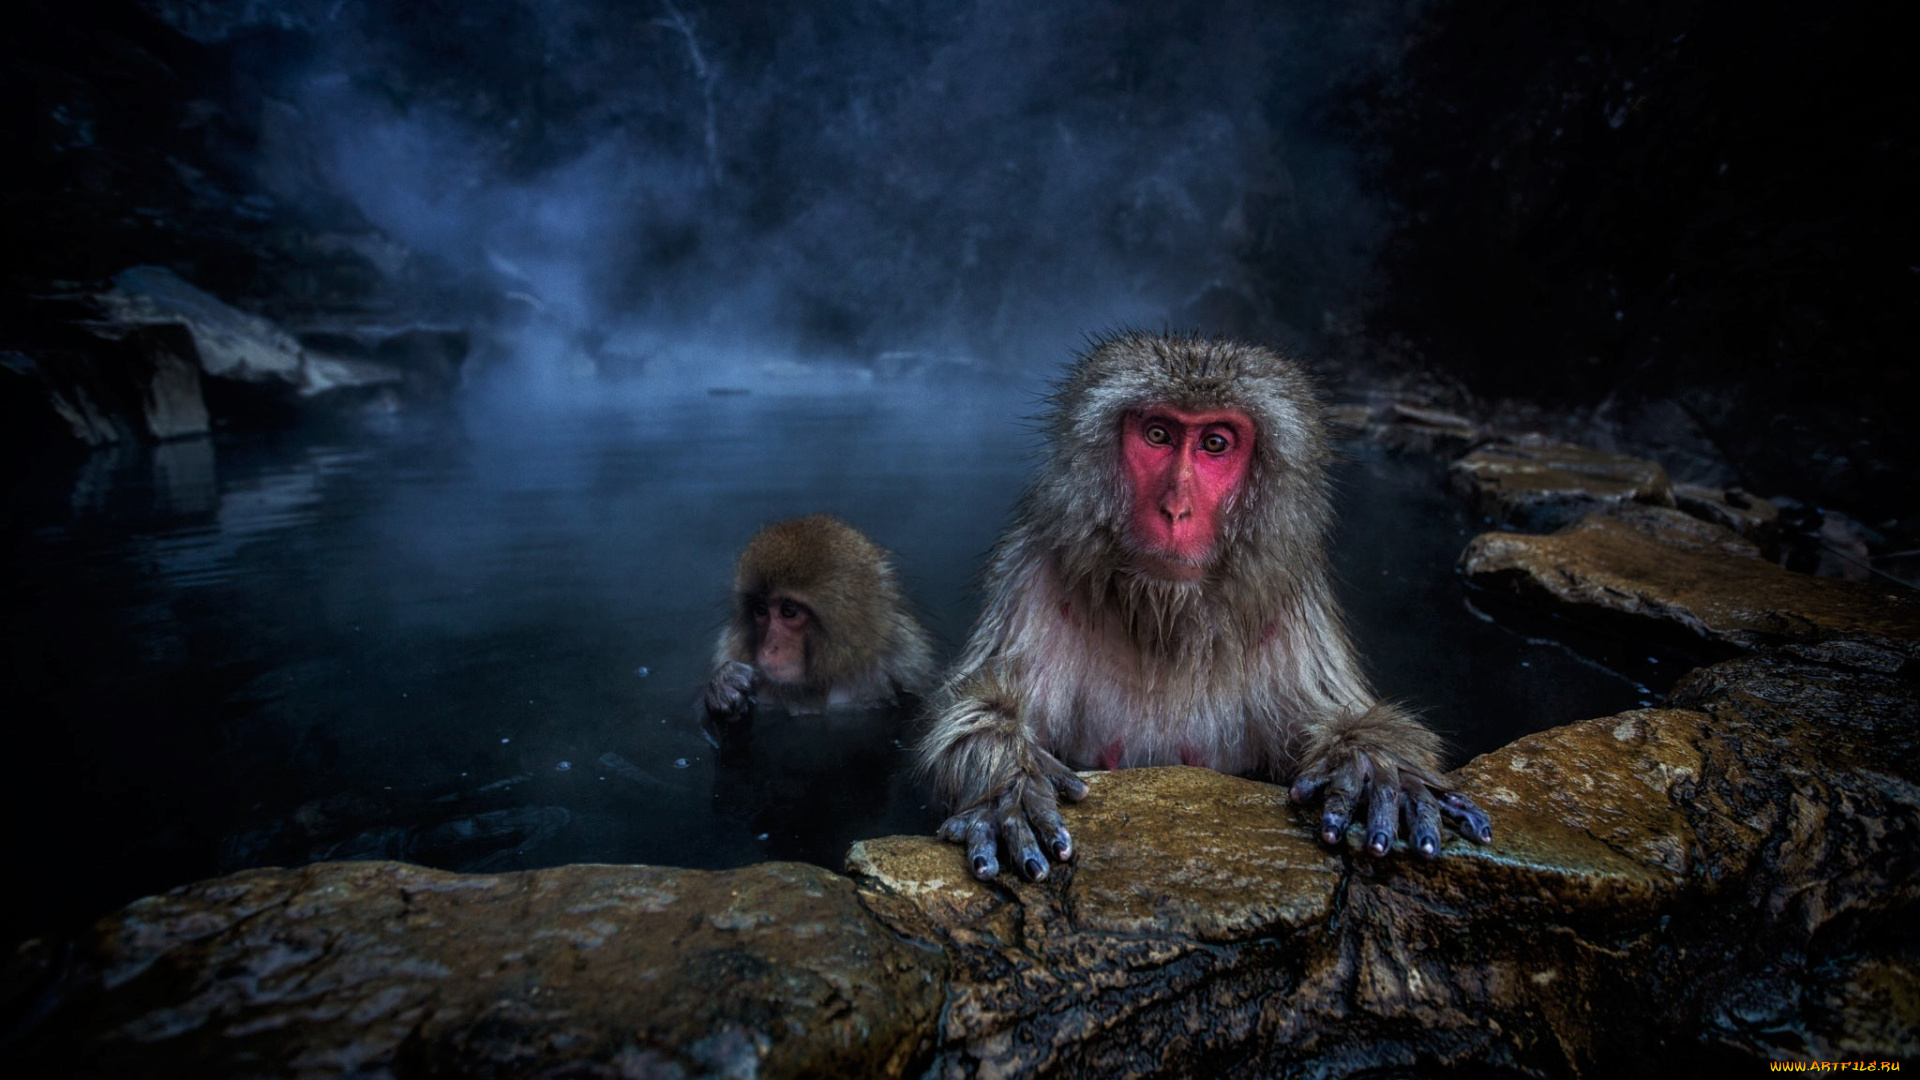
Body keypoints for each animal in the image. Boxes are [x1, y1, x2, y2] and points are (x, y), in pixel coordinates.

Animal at [916, 331, 1493, 882]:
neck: (1165, 617)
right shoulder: (1034, 573)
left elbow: (1335, 713)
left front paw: (1374, 765)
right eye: (1158, 435)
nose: (1175, 510)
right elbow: (984, 703)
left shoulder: (1289, 602)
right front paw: (1007, 782)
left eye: (1215, 444)